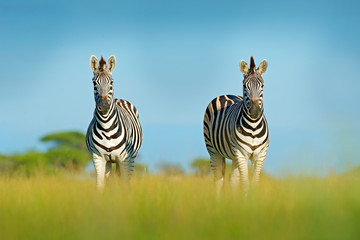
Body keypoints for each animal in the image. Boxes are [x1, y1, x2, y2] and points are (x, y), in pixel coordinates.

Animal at [86, 55, 143, 188]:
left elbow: (125, 184)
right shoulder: (98, 158)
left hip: (131, 158)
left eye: (112, 82)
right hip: (109, 161)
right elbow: (100, 185)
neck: (106, 127)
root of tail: (119, 99)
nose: (104, 106)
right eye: (94, 83)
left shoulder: (124, 159)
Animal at [204, 56, 268, 193]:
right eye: (244, 86)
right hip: (213, 151)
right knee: (218, 181)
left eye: (262, 85)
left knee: (233, 180)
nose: (255, 111)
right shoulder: (241, 153)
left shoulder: (260, 154)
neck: (253, 127)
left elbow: (254, 183)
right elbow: (245, 183)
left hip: (233, 156)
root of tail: (225, 94)